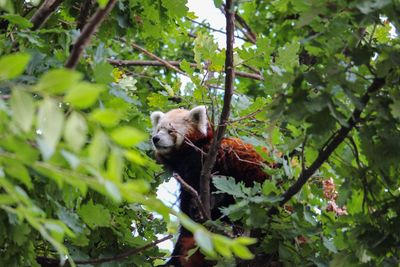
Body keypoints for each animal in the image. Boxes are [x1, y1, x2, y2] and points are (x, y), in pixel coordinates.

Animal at [150, 105, 268, 266]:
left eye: (171, 131)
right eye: (158, 130)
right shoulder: (187, 181)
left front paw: (206, 204)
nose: (155, 138)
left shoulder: (212, 161)